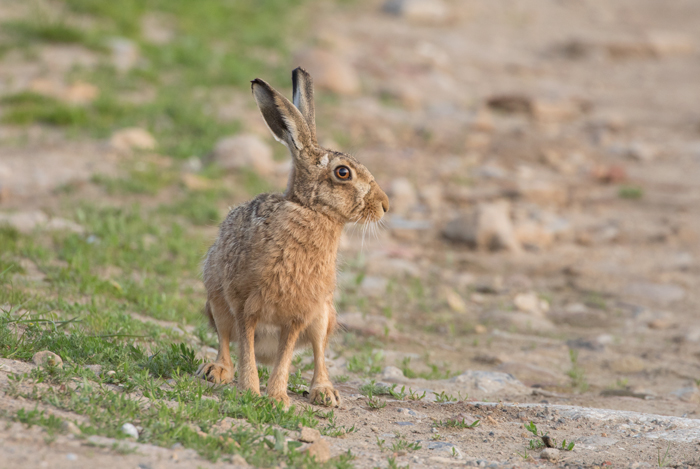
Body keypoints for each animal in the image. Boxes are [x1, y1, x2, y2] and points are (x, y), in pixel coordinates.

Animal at [196, 67, 389, 407]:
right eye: (343, 173)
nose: (385, 205)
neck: (310, 211)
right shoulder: (244, 303)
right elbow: (245, 348)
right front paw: (251, 392)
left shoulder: (300, 314)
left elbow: (286, 356)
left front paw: (277, 399)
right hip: (215, 301)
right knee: (226, 340)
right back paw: (217, 371)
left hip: (324, 315)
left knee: (319, 352)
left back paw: (325, 392)